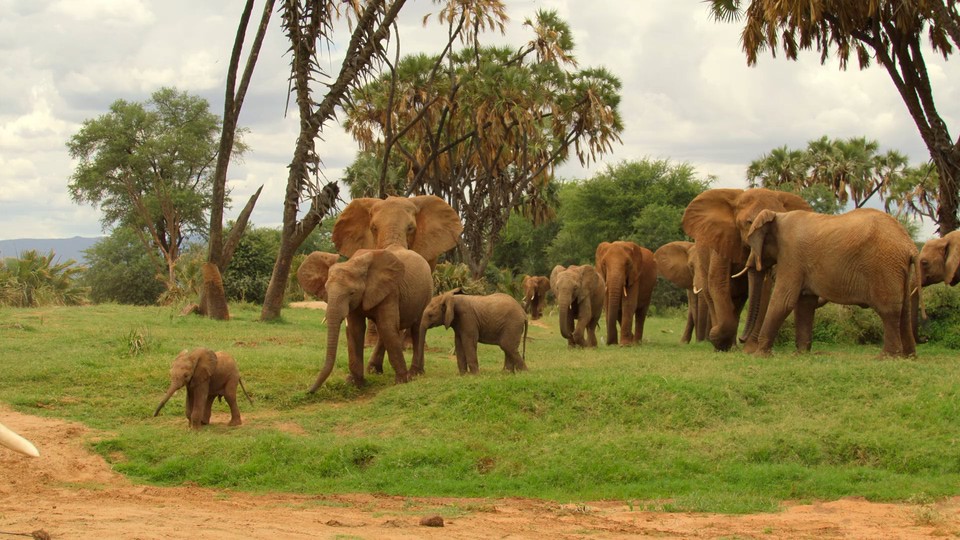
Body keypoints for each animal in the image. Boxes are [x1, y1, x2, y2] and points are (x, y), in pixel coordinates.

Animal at [308, 246, 432, 392]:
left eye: (352, 293)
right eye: (326, 290)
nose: (309, 391)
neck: (354, 263)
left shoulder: (390, 291)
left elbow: (387, 326)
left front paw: (402, 382)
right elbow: (356, 329)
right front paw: (354, 383)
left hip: (427, 292)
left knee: (416, 329)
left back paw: (415, 373)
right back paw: (374, 371)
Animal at [680, 188, 812, 352]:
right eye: (748, 223)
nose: (742, 339)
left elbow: (764, 289)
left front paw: (749, 350)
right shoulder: (722, 240)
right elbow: (719, 283)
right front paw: (717, 340)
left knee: (738, 301)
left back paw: (733, 346)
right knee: (711, 294)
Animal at [740, 209, 920, 356]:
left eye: (751, 244)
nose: (741, 340)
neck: (777, 215)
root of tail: (910, 246)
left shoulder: (791, 255)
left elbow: (783, 300)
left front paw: (760, 355)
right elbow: (805, 303)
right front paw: (801, 354)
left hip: (884, 266)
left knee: (889, 311)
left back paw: (886, 357)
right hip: (898, 269)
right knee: (904, 311)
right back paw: (908, 357)